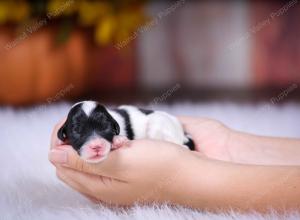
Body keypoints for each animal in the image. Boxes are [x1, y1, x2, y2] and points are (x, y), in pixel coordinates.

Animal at [57, 100, 195, 162]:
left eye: (105, 127)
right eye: (77, 130)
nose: (96, 146)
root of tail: (182, 132)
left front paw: (118, 140)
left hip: (158, 126)